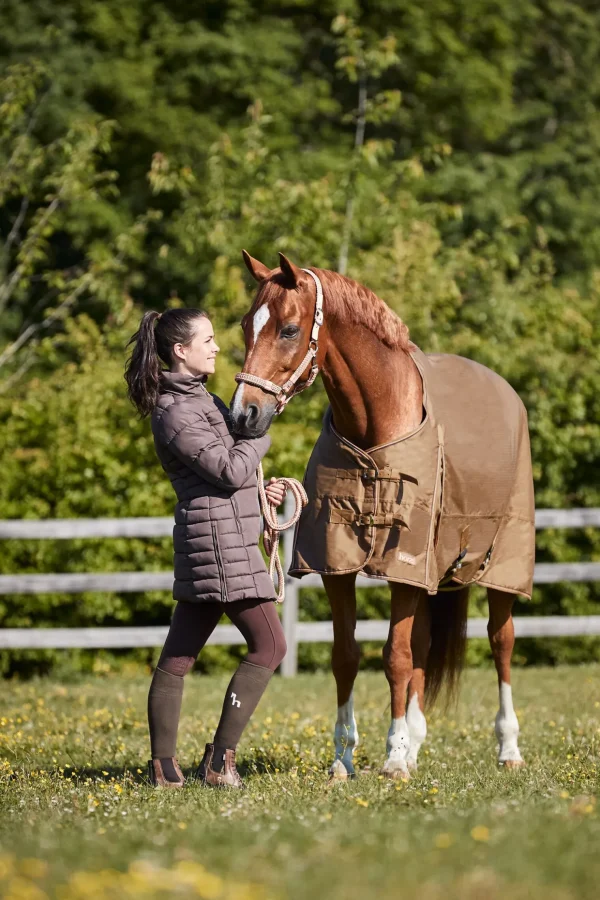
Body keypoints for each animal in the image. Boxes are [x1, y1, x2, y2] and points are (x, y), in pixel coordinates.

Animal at [230, 253, 524, 780]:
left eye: (288, 329)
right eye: (246, 325)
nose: (244, 415)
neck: (375, 426)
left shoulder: (402, 563)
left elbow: (395, 657)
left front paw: (392, 759)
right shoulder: (336, 564)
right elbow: (348, 656)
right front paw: (344, 758)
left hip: (501, 565)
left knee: (500, 642)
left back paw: (508, 748)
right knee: (426, 644)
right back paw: (416, 743)